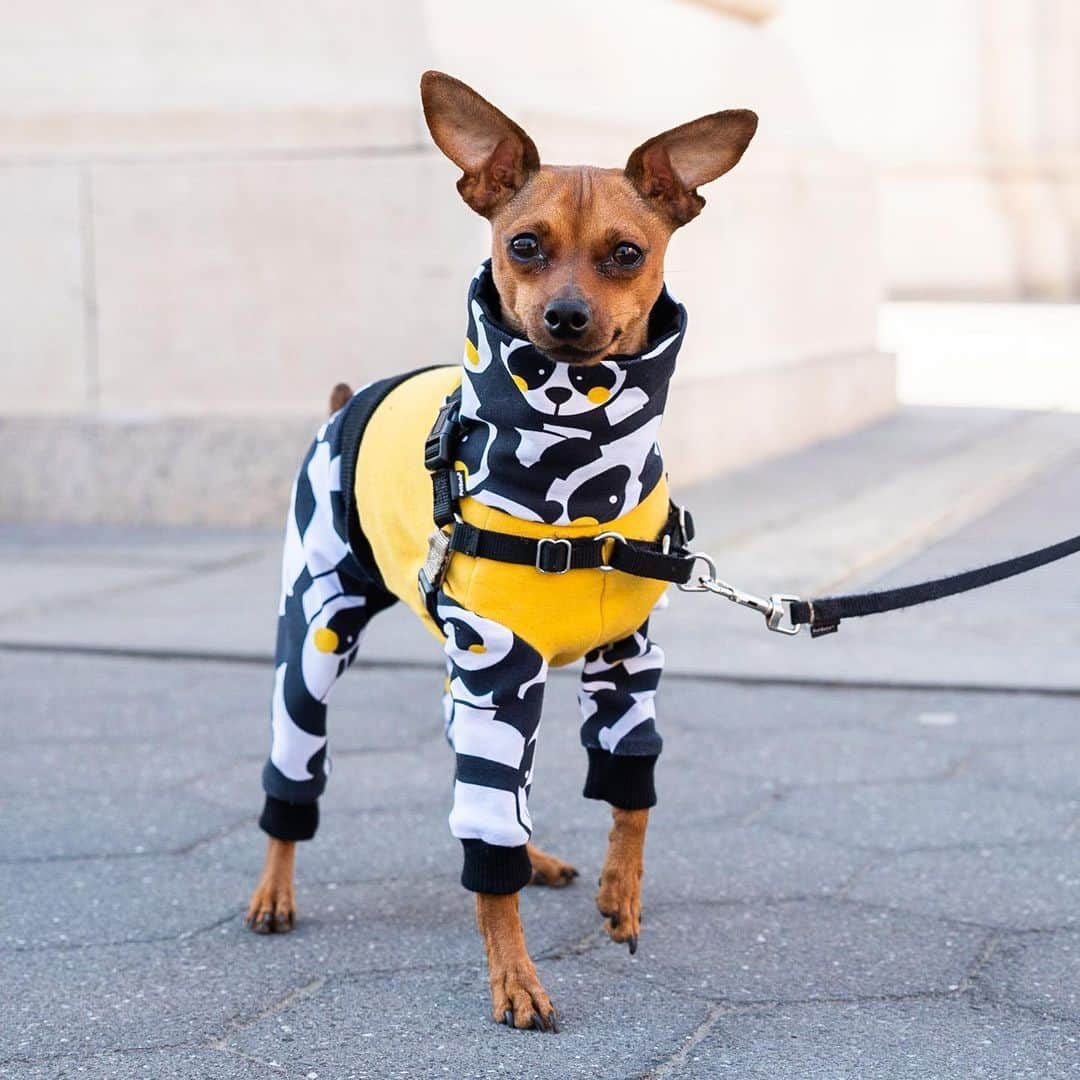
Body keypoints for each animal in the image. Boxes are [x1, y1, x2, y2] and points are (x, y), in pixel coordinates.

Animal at [246, 67, 756, 1028]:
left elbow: (628, 791)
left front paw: (619, 892)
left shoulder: (625, 661)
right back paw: (273, 888)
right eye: (524, 244)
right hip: (318, 630)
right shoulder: (498, 666)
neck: (576, 482)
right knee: (297, 769)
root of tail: (346, 402)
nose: (566, 316)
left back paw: (544, 857)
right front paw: (515, 976)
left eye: (626, 253)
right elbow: (490, 860)